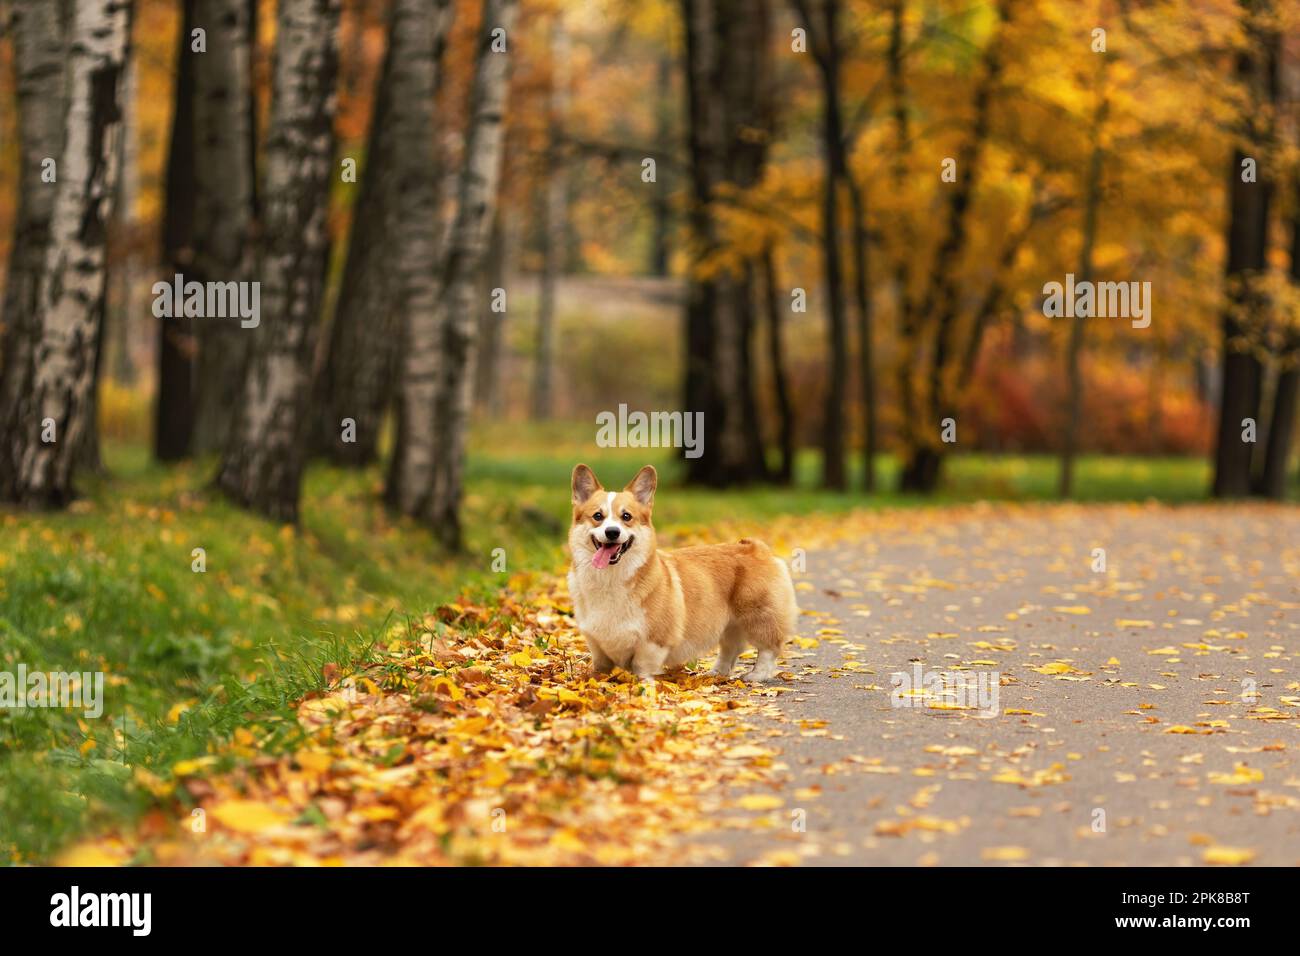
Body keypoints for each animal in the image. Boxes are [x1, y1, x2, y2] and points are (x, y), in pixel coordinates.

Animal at [566, 463, 795, 681]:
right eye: (597, 516)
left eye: (626, 516)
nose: (612, 532)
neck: (609, 579)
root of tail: (755, 546)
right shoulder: (597, 644)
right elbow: (600, 668)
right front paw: (594, 680)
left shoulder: (653, 642)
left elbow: (642, 667)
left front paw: (643, 685)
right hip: (729, 624)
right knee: (730, 649)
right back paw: (717, 673)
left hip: (758, 616)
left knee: (769, 647)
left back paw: (757, 675)